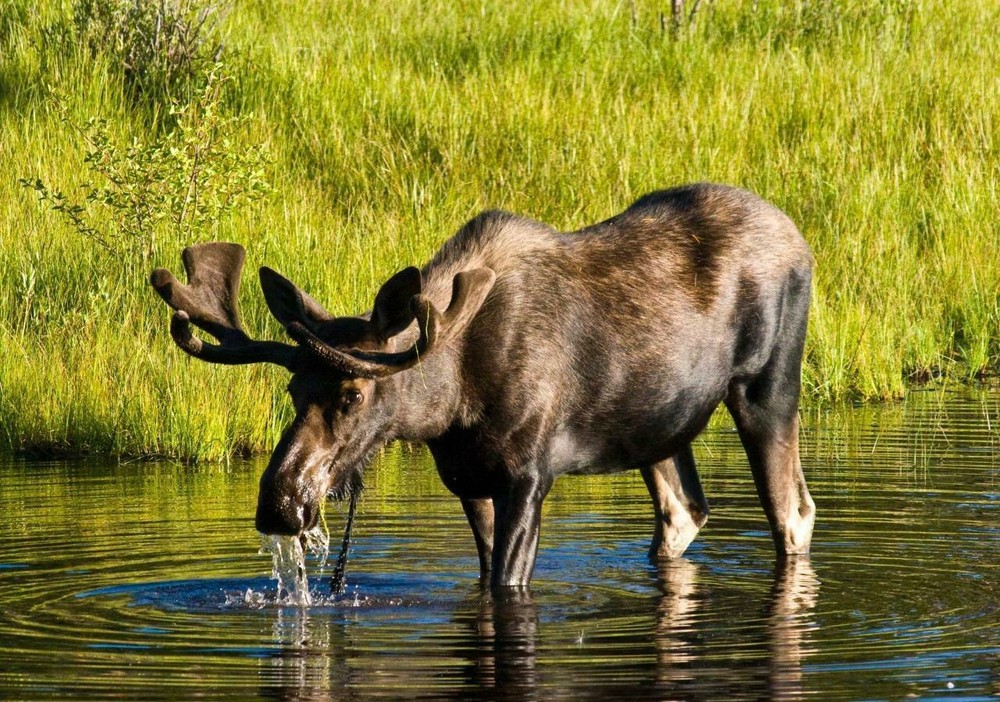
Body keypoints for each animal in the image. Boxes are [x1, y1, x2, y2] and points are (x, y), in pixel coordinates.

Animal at [151, 183, 816, 590]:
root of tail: (802, 238)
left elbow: (506, 585)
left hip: (767, 386)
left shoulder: (529, 476)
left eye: (352, 395)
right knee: (685, 510)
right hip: (657, 424)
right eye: (292, 392)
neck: (449, 405)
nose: (279, 503)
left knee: (793, 513)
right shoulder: (469, 481)